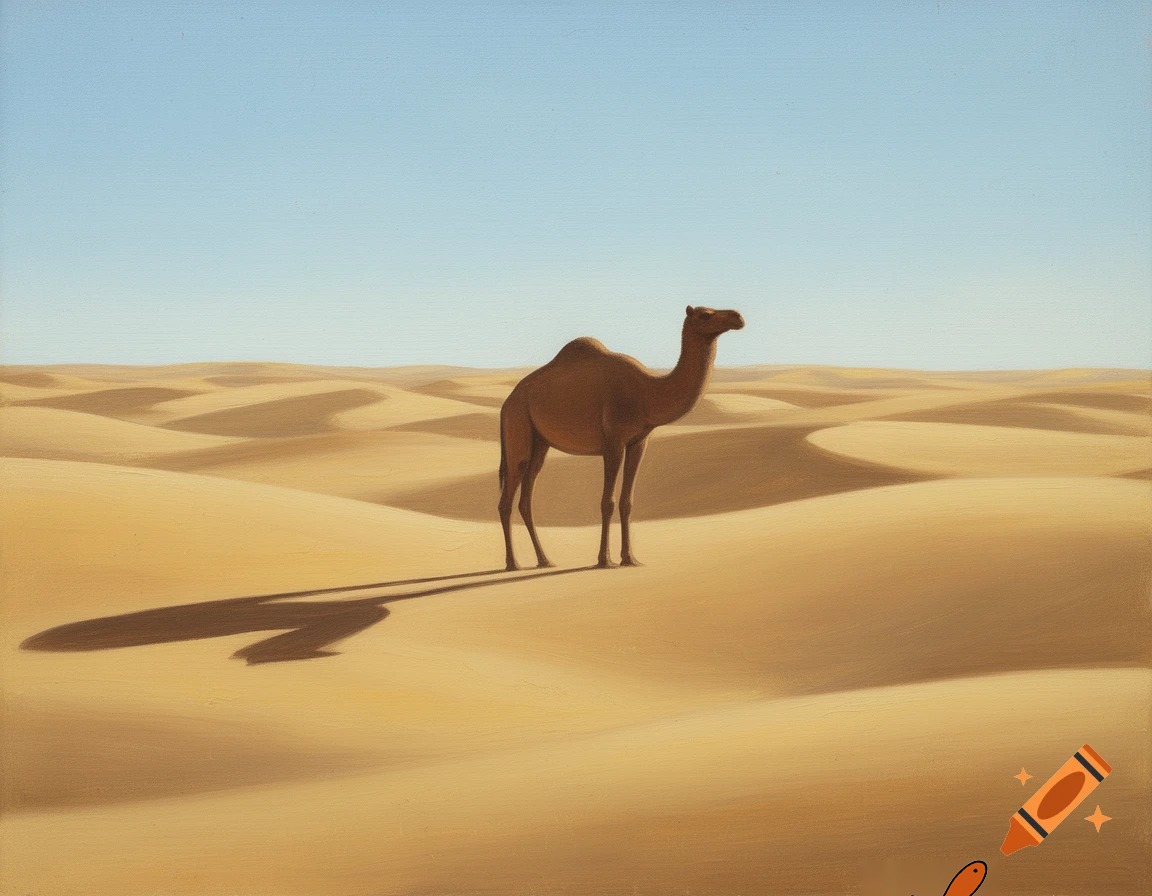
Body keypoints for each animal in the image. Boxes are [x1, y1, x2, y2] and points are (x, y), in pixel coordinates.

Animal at [498, 305, 745, 570]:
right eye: (705, 315)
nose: (737, 317)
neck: (647, 392)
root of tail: (507, 402)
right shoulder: (613, 441)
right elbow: (607, 502)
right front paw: (604, 560)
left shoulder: (638, 442)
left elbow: (627, 502)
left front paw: (630, 558)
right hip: (518, 423)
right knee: (507, 498)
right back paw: (512, 563)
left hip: (540, 443)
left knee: (526, 499)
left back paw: (544, 560)